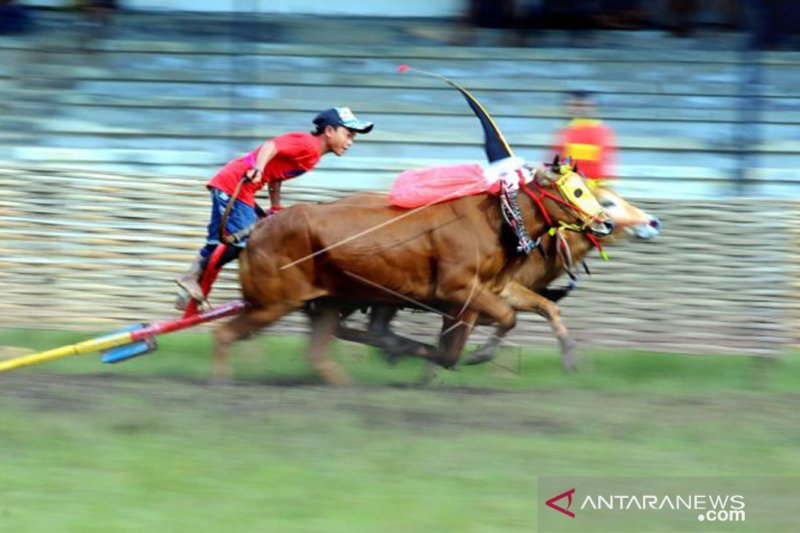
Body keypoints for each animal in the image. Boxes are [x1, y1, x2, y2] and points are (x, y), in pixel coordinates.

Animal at [212, 162, 612, 382]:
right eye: (576, 191)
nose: (605, 222)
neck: (497, 219)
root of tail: (258, 229)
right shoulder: (459, 290)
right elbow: (491, 327)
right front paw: (467, 356)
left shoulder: (489, 290)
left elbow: (542, 309)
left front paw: (570, 357)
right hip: (274, 302)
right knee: (225, 333)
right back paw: (222, 381)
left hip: (329, 301)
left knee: (323, 347)